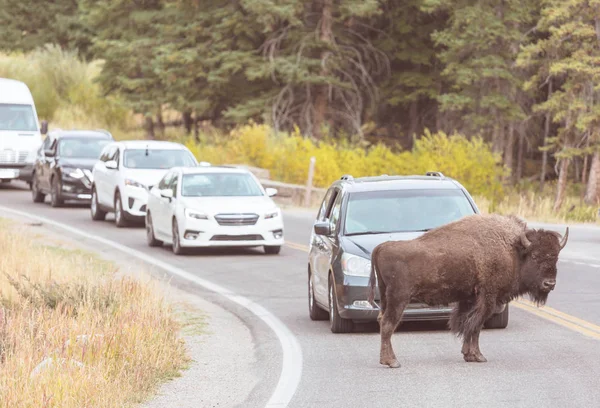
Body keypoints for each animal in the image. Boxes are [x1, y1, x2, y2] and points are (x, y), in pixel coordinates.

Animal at [366, 215, 568, 368]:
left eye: (556, 257)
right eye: (535, 256)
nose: (549, 283)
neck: (512, 249)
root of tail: (381, 247)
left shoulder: (470, 299)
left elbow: (467, 325)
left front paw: (468, 355)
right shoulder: (488, 299)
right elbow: (475, 327)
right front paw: (478, 356)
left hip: (386, 297)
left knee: (382, 321)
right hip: (399, 299)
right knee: (388, 324)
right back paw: (392, 361)